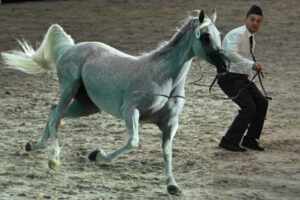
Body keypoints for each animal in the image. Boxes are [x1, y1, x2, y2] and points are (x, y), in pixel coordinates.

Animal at [1, 10, 229, 195]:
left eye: (219, 36)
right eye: (205, 37)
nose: (225, 65)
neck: (163, 79)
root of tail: (70, 48)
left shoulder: (170, 123)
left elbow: (167, 152)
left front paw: (172, 185)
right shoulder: (130, 111)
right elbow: (133, 141)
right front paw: (97, 155)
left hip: (86, 105)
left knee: (53, 112)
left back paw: (35, 146)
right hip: (68, 89)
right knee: (56, 117)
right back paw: (53, 159)